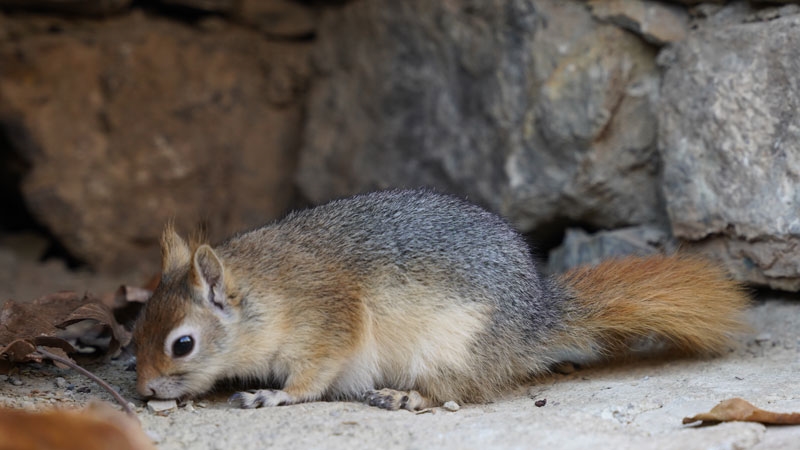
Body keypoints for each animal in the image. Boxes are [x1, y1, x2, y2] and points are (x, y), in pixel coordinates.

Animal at [133, 189, 749, 411]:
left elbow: (312, 378)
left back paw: (408, 397)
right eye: (137, 327)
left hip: (450, 349)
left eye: (182, 344)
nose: (143, 392)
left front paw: (274, 396)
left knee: (465, 391)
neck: (266, 292)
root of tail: (532, 321)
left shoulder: (328, 321)